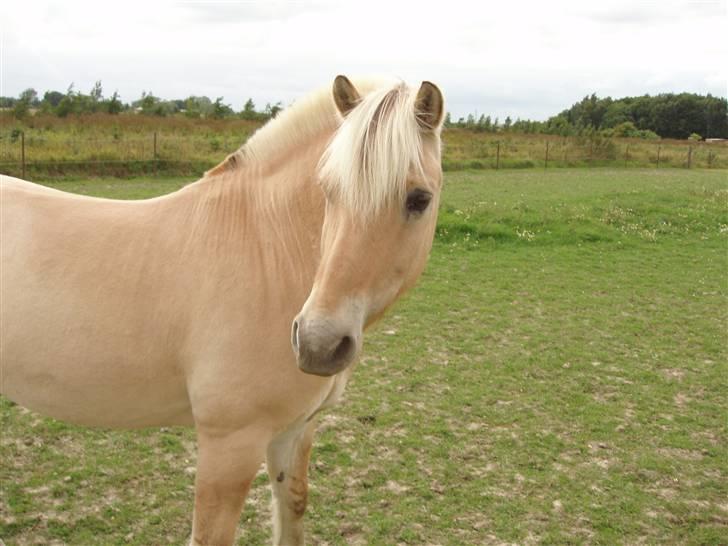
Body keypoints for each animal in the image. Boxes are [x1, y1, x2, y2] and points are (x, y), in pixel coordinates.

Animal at [0, 74, 446, 540]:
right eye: (328, 190)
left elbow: (292, 508)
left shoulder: (295, 430)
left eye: (419, 198)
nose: (317, 344)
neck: (268, 251)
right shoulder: (229, 446)